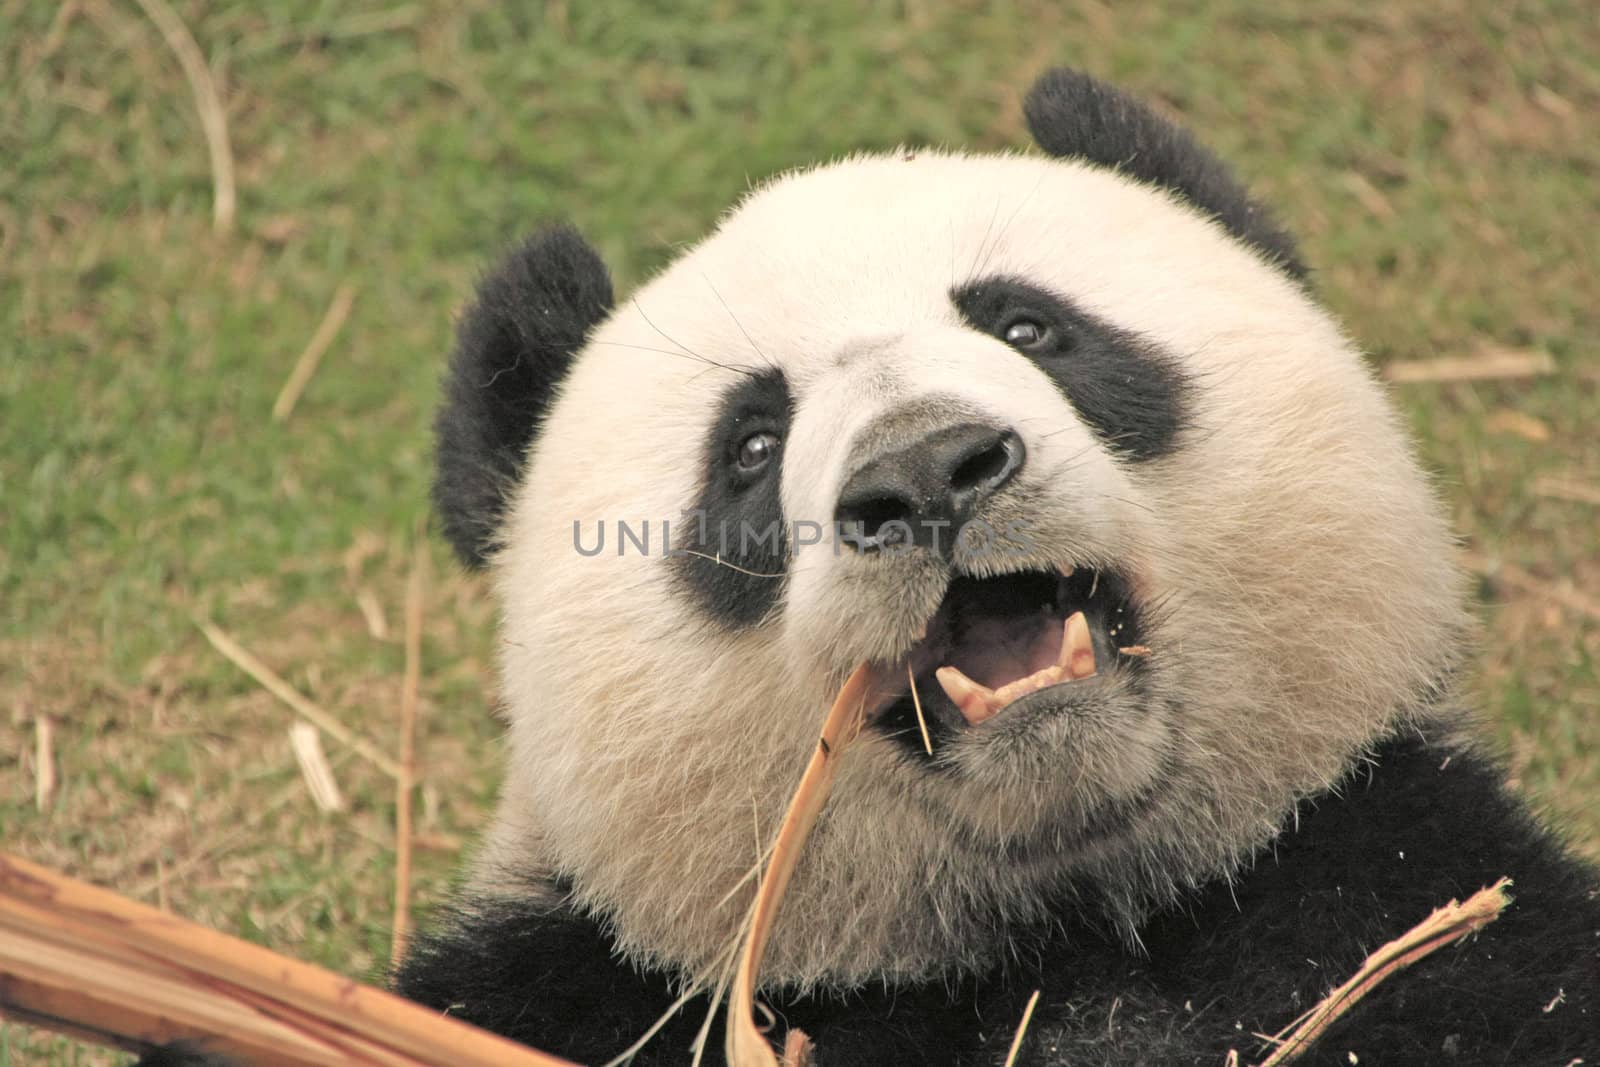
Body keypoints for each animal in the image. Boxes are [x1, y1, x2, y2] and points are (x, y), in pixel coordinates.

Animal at [144, 70, 1593, 1062]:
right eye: (750, 445)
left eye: (1029, 325)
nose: (929, 472)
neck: (1060, 920)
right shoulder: (585, 985)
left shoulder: (1399, 886)